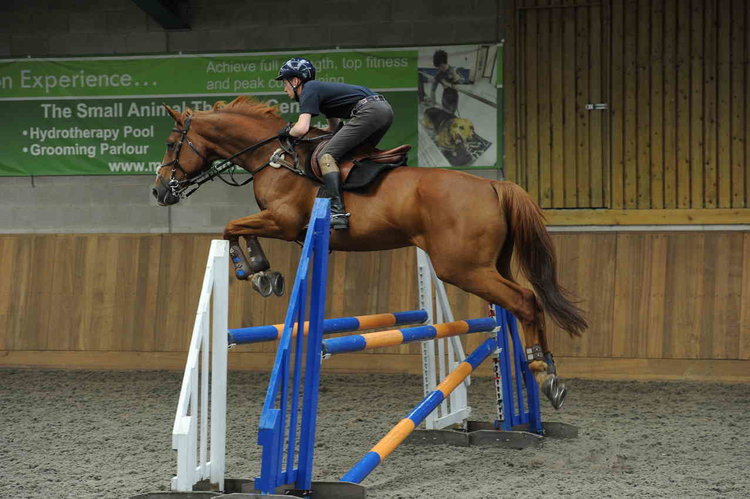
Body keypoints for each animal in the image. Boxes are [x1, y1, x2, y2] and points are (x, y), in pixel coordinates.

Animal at [151, 96, 588, 410]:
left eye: (172, 144)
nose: (158, 191)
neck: (272, 158)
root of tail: (495, 185)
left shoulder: (282, 222)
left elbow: (230, 228)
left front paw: (258, 272)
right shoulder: (279, 224)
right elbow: (234, 228)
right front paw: (264, 272)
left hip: (464, 268)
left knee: (526, 300)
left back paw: (543, 371)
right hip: (489, 265)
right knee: (524, 303)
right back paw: (549, 373)